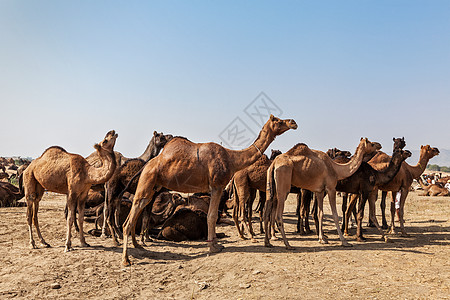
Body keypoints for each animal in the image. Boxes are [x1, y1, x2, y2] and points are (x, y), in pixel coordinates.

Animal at [121, 114, 298, 264]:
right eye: (278, 121)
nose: (293, 122)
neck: (232, 158)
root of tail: (147, 165)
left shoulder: (215, 188)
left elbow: (211, 216)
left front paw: (216, 244)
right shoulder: (217, 186)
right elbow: (212, 216)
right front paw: (213, 246)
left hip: (152, 187)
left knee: (137, 212)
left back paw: (138, 245)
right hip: (147, 180)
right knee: (130, 218)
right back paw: (126, 259)